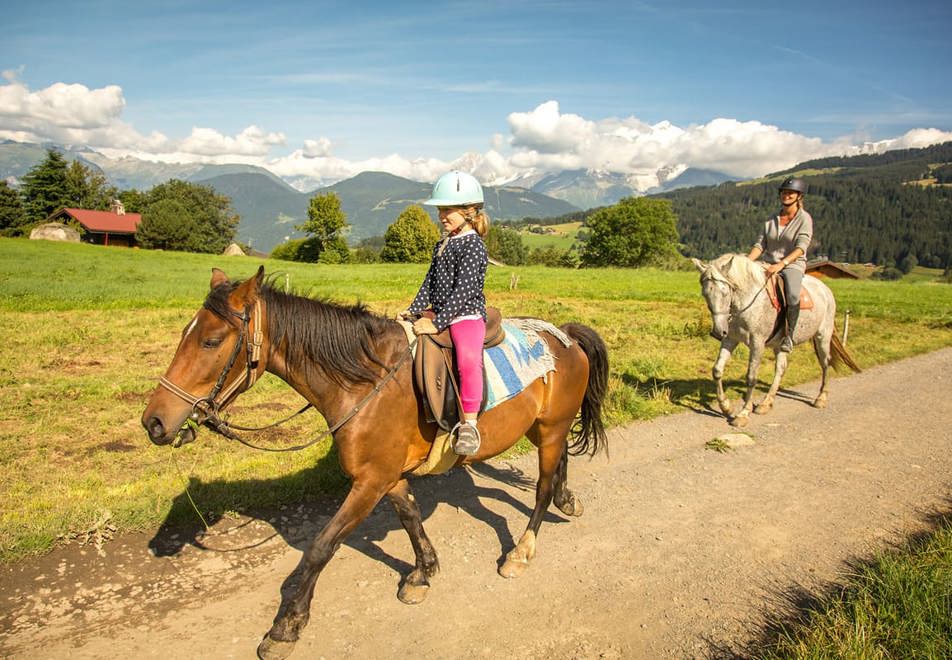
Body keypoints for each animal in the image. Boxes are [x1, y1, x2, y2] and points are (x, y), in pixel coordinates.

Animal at [141, 266, 608, 656]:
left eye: (211, 341)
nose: (154, 422)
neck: (363, 381)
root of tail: (564, 335)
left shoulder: (369, 481)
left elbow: (321, 547)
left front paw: (287, 626)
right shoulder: (387, 475)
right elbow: (410, 517)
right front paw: (423, 572)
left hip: (551, 428)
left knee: (542, 488)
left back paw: (521, 551)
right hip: (543, 428)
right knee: (558, 465)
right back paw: (568, 500)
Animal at [688, 253, 860, 428]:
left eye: (724, 292)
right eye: (705, 294)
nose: (718, 332)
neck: (747, 302)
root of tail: (825, 290)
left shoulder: (757, 342)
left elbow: (751, 377)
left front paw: (743, 414)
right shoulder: (730, 338)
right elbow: (717, 370)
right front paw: (726, 407)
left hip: (822, 337)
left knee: (825, 363)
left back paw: (821, 398)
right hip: (780, 345)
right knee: (781, 369)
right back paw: (765, 403)